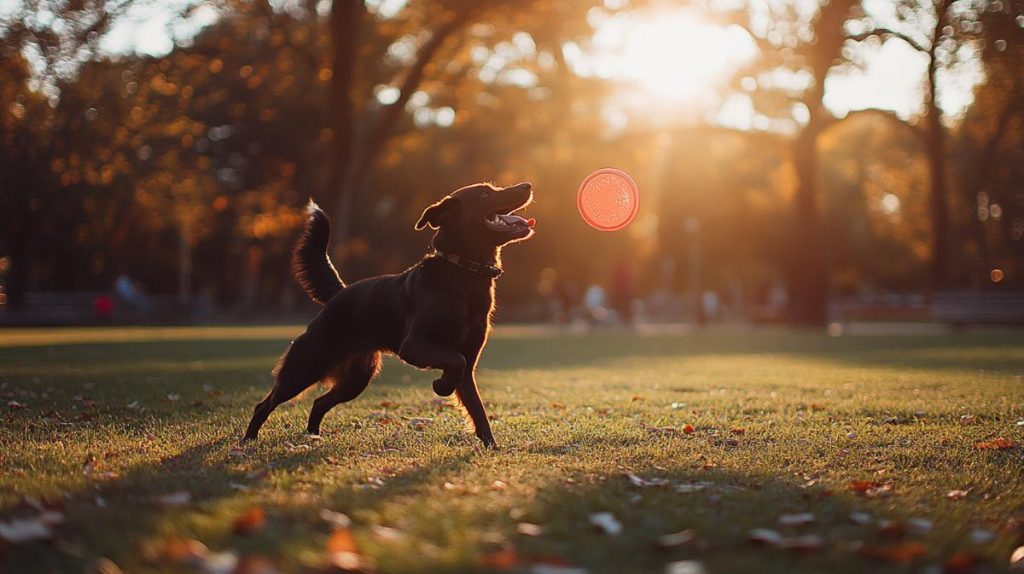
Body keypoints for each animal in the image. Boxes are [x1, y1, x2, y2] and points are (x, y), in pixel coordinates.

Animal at [243, 181, 536, 446]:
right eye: (485, 193)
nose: (528, 185)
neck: (464, 274)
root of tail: (339, 293)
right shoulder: (415, 345)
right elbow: (454, 362)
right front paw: (441, 385)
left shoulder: (468, 364)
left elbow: (477, 409)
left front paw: (491, 447)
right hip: (305, 366)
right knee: (265, 404)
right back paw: (248, 441)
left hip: (357, 378)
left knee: (319, 402)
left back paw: (313, 436)